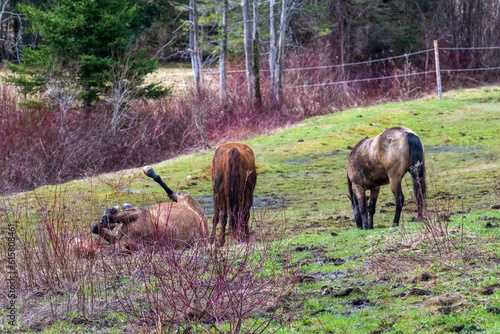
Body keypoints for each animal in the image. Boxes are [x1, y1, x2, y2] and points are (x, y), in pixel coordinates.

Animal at [74, 166, 209, 258]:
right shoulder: (118, 236)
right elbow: (96, 227)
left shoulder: (138, 213)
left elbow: (106, 220)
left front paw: (108, 216)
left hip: (184, 196)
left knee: (170, 192)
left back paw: (149, 171)